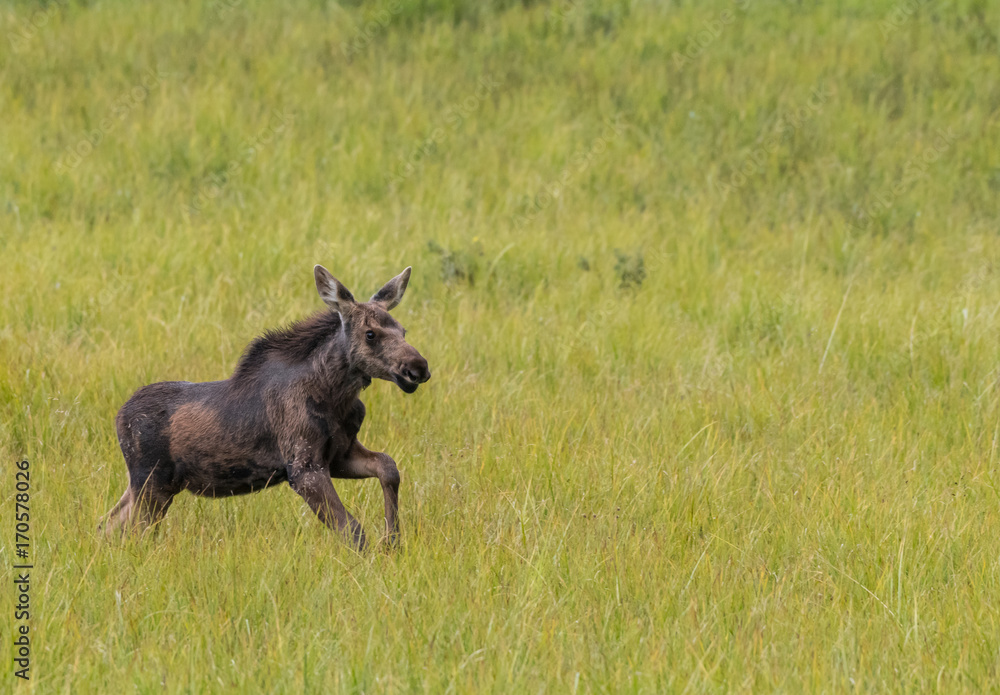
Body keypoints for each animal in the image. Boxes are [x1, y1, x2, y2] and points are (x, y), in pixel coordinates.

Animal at [99, 265, 430, 550]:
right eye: (370, 334)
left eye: (403, 330)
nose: (418, 367)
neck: (336, 395)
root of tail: (118, 417)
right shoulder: (303, 467)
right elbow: (352, 530)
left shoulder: (339, 454)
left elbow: (388, 467)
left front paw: (393, 541)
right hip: (151, 482)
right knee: (130, 531)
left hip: (150, 485)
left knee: (108, 523)